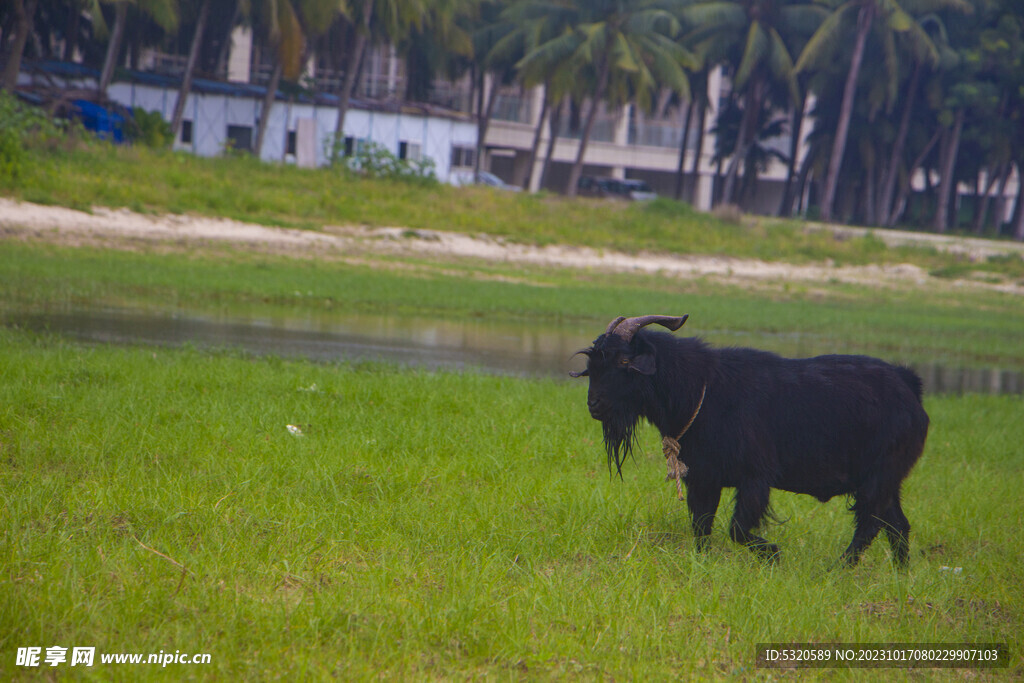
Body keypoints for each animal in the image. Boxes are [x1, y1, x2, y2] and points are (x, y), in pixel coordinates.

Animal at [573, 315, 933, 565]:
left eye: (624, 361)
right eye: (593, 364)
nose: (595, 405)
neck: (701, 389)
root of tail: (909, 386)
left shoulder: (755, 477)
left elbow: (737, 529)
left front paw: (773, 554)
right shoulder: (704, 479)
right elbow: (701, 527)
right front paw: (701, 564)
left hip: (879, 476)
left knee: (870, 524)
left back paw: (838, 569)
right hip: (888, 480)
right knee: (897, 524)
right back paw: (900, 573)